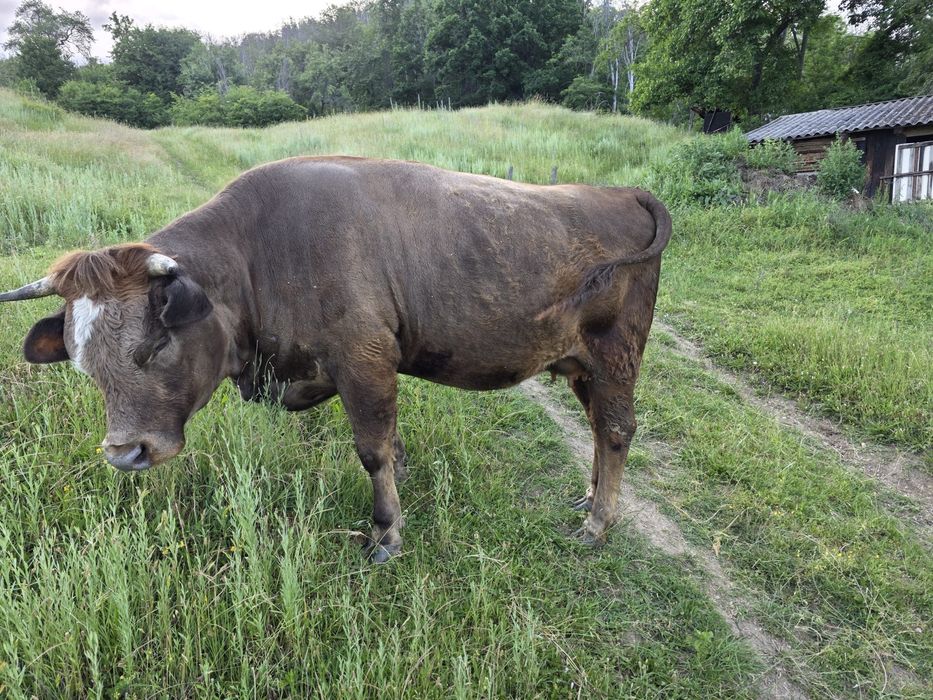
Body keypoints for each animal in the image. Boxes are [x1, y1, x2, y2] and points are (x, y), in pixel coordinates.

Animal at [0, 156, 671, 562]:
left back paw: (598, 523)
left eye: (157, 343)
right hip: (582, 365)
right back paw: (588, 500)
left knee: (616, 430)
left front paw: (386, 534)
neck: (258, 253)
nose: (126, 453)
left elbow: (373, 451)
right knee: (598, 428)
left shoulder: (364, 363)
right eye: (83, 361)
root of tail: (621, 191)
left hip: (616, 355)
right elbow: (393, 446)